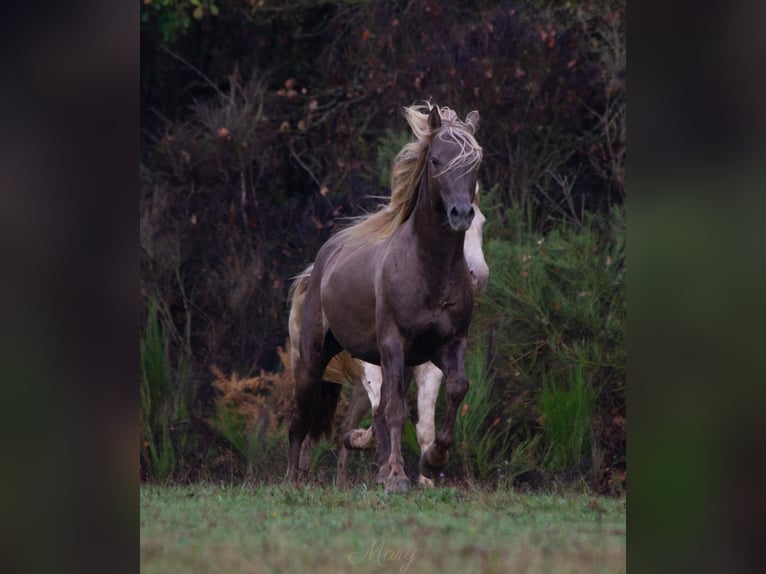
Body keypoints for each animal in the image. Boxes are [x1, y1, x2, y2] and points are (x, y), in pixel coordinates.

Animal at [288, 103, 486, 496]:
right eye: (436, 160)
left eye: (474, 162)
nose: (460, 213)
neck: (430, 271)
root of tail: (323, 260)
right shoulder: (394, 343)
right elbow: (395, 409)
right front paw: (396, 476)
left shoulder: (450, 344)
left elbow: (457, 389)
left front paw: (432, 461)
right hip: (315, 357)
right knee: (302, 415)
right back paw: (291, 479)